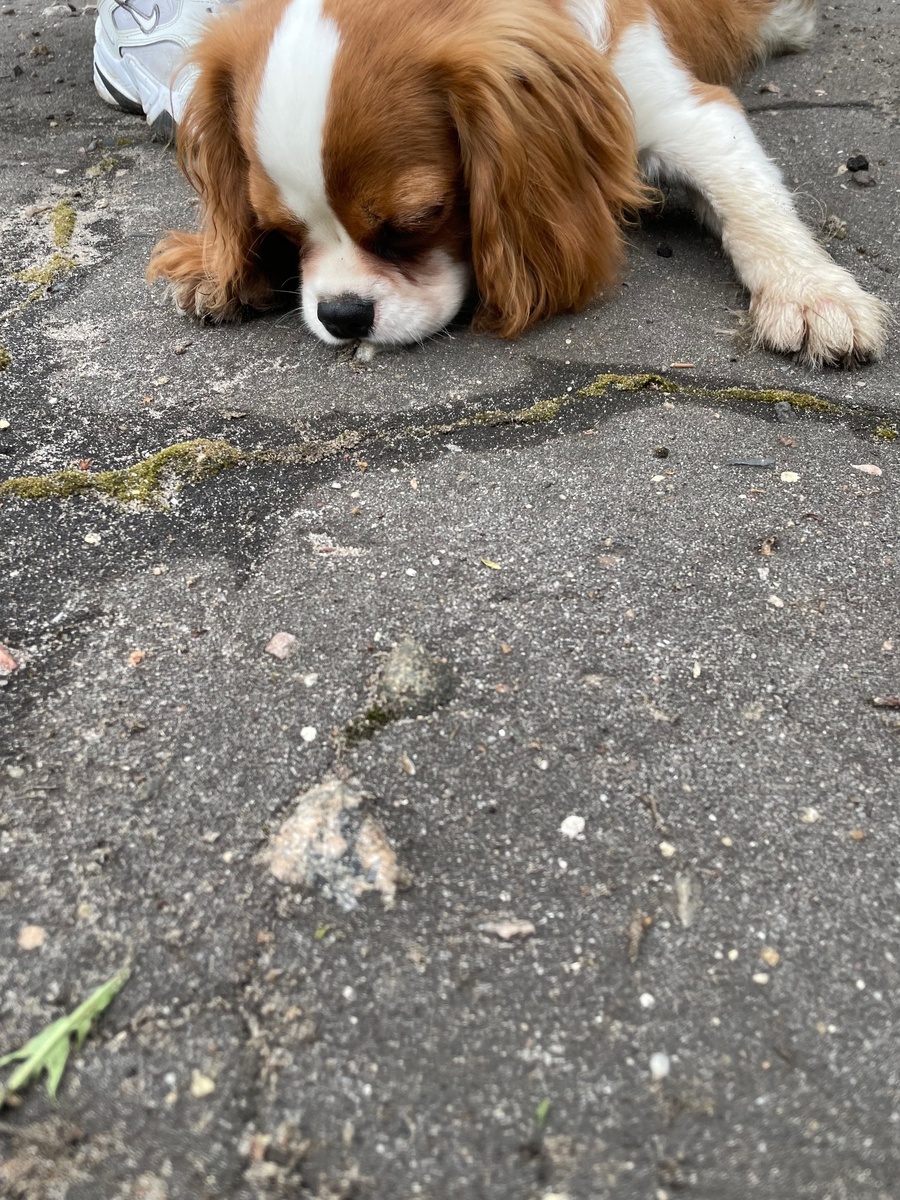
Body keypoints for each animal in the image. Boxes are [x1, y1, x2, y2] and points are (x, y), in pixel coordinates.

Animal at [148, 0, 890, 366]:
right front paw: (217, 264)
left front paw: (809, 291)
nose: (342, 315)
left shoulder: (681, 108)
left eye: (419, 218)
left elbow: (748, 197)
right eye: (279, 229)